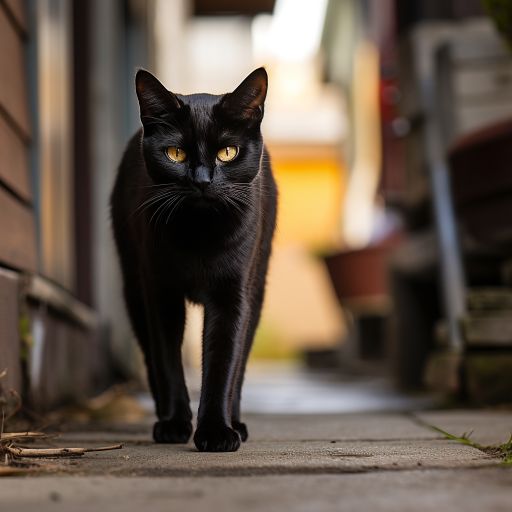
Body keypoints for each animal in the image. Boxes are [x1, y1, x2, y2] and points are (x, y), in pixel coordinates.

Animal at [110, 68, 278, 452]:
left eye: (227, 152)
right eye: (176, 153)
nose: (202, 180)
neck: (200, 233)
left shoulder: (233, 295)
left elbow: (223, 361)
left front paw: (216, 431)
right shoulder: (160, 293)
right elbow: (168, 361)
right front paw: (175, 423)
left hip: (258, 289)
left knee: (240, 361)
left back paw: (237, 422)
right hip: (133, 287)